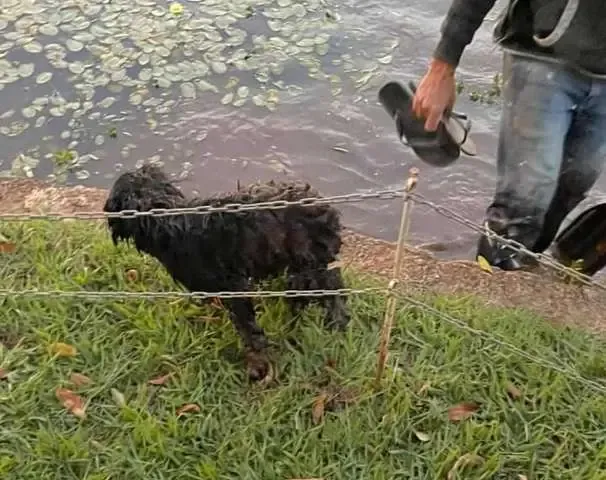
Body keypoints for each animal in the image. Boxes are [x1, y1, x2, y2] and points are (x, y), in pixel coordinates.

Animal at [104, 166, 352, 382]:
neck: (169, 221)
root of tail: (326, 208)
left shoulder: (233, 285)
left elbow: (249, 329)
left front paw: (257, 364)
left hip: (309, 262)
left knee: (330, 293)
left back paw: (334, 325)